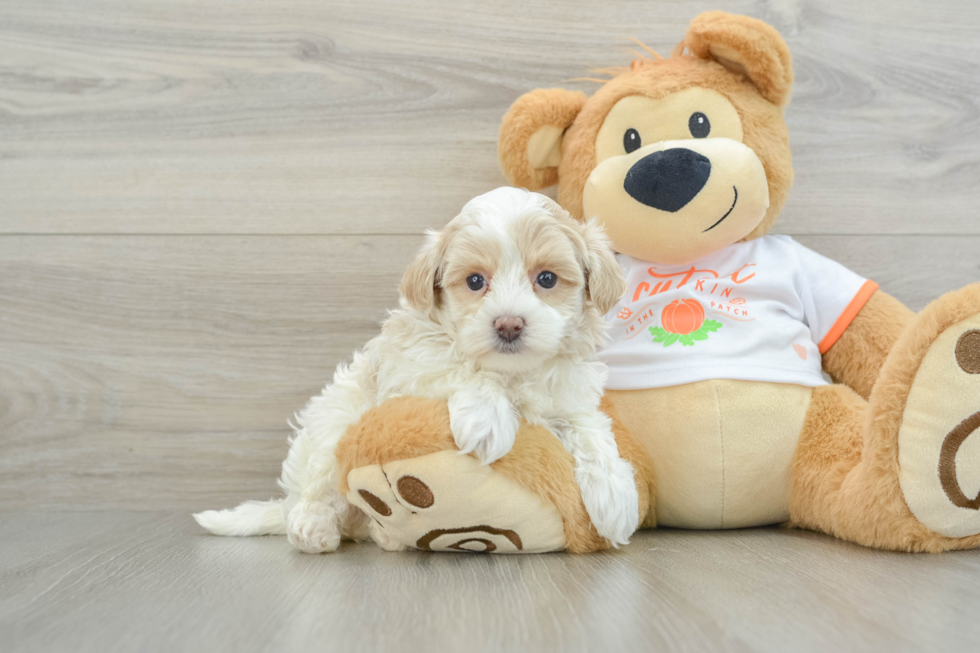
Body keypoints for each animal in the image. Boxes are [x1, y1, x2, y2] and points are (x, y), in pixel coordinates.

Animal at [195, 187, 640, 552]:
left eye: (546, 278)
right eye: (475, 281)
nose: (509, 325)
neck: (513, 372)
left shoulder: (570, 396)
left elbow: (590, 429)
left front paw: (615, 496)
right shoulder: (411, 366)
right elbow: (461, 367)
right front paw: (487, 420)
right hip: (332, 426)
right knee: (316, 492)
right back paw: (313, 527)